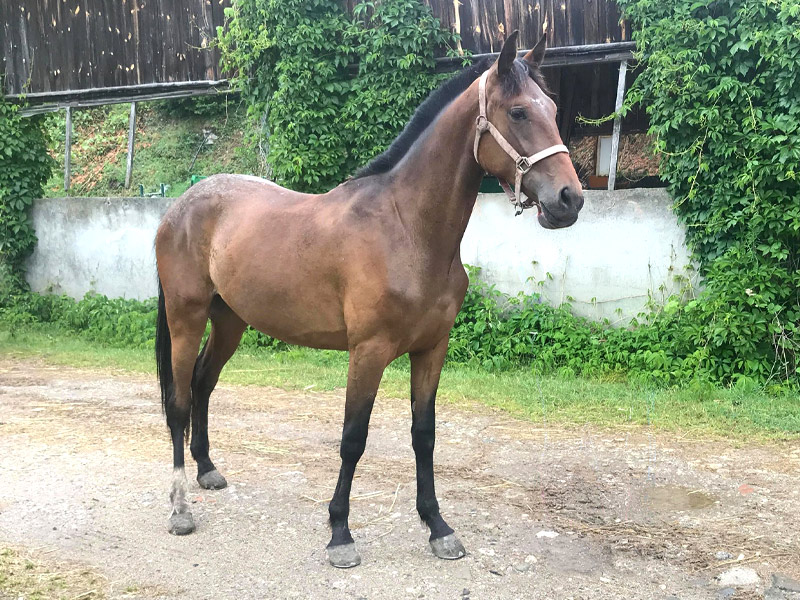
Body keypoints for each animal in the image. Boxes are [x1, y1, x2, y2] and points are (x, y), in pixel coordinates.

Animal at [154, 31, 583, 568]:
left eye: (552, 107)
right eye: (520, 112)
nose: (570, 199)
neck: (406, 229)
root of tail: (178, 208)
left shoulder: (431, 351)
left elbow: (425, 436)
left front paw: (438, 527)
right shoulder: (368, 352)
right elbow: (352, 439)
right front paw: (340, 533)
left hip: (230, 321)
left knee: (203, 385)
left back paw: (207, 469)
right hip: (185, 318)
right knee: (178, 402)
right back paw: (179, 509)